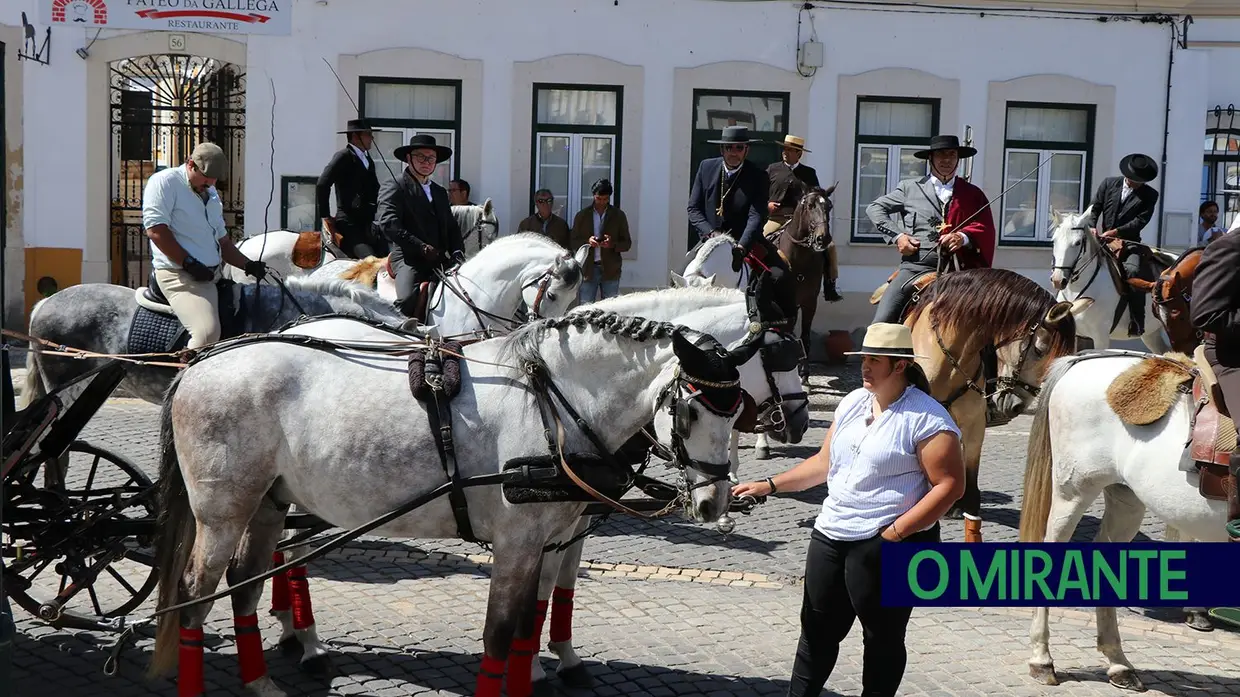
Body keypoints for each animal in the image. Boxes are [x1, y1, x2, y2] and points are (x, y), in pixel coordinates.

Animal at [147, 303, 744, 694]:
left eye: (737, 410)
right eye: (691, 411)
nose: (715, 501)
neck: (550, 401)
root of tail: (200, 363)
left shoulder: (549, 538)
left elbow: (529, 624)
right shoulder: (517, 543)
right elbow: (500, 635)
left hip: (271, 502)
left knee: (246, 584)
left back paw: (263, 678)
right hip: (223, 512)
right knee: (195, 593)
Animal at [758, 184, 838, 377]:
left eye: (829, 206)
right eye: (810, 206)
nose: (823, 238)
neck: (799, 259)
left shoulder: (809, 302)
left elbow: (805, 337)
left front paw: (805, 374)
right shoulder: (788, 303)